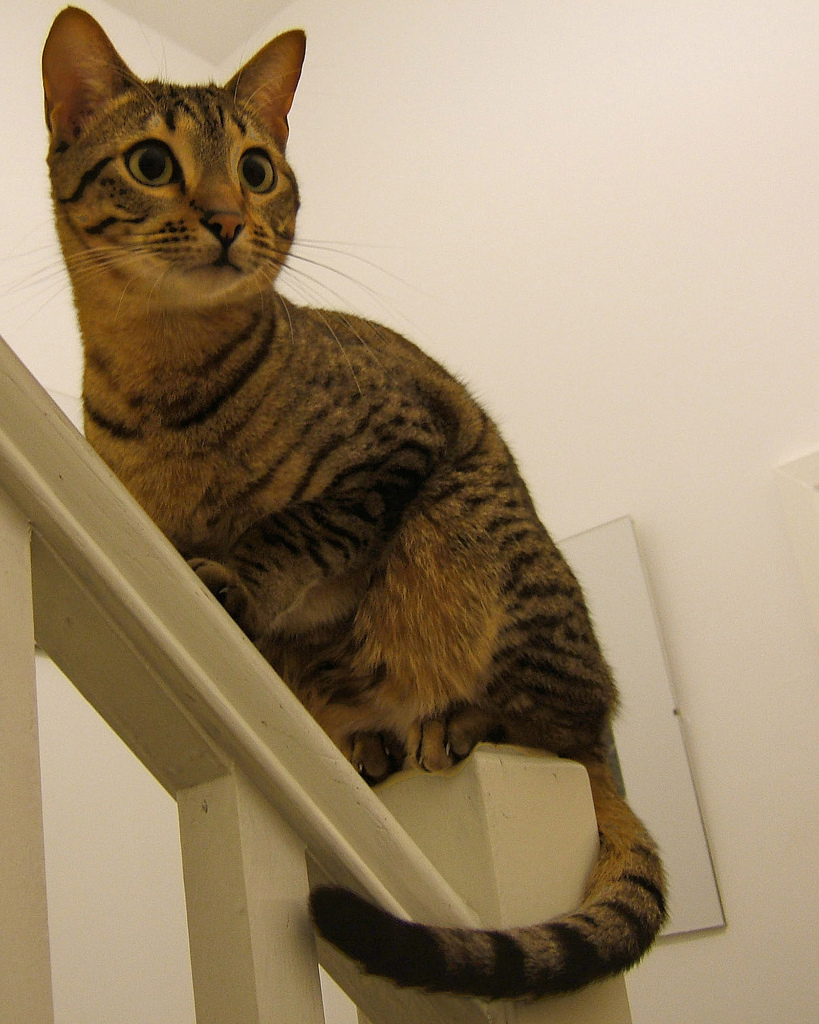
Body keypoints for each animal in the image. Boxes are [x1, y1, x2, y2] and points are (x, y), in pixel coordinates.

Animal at [43, 6, 666, 1001]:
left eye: (257, 170)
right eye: (151, 162)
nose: (228, 220)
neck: (166, 379)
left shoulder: (399, 444)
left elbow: (294, 526)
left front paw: (238, 571)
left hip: (462, 529)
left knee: (562, 724)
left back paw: (459, 722)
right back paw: (366, 743)